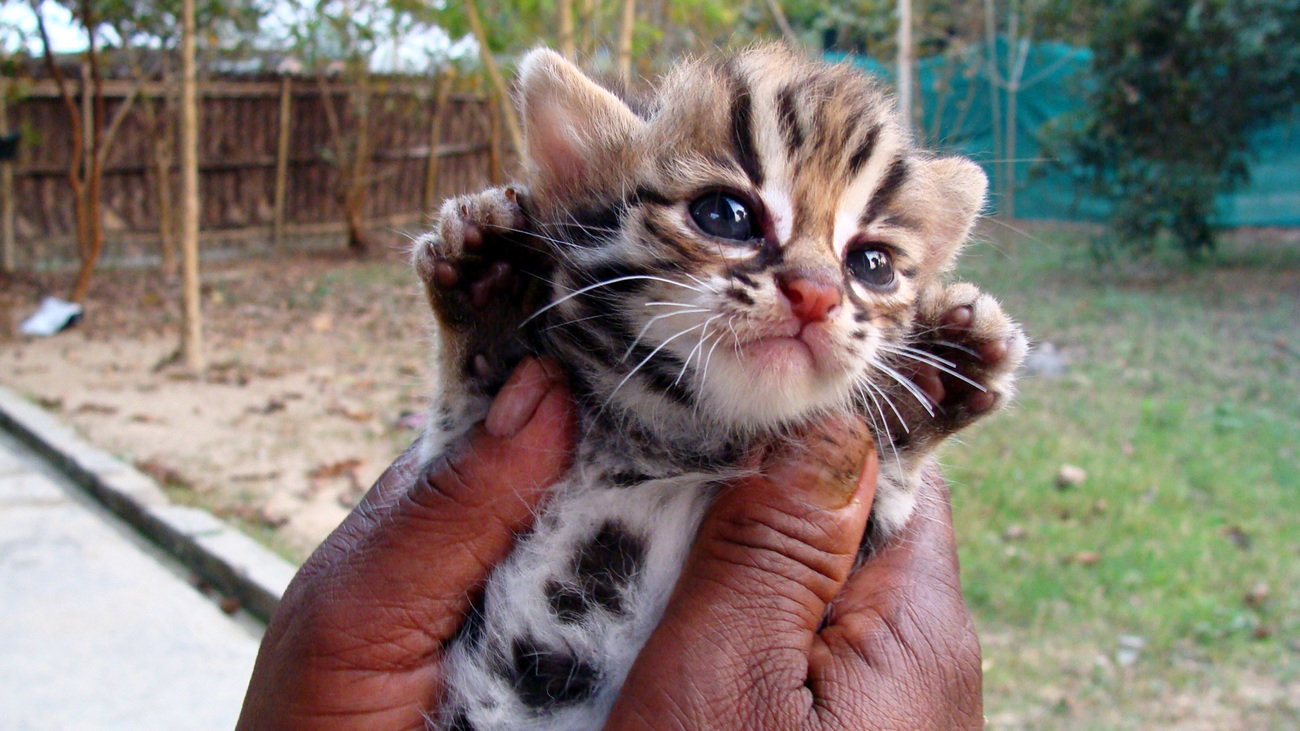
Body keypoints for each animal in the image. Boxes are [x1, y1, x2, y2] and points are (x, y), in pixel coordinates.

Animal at [410, 45, 1019, 728]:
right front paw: (490, 294)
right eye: (724, 215)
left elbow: (884, 487)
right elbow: (462, 416)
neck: (678, 440)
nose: (817, 294)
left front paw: (919, 384)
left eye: (873, 265)